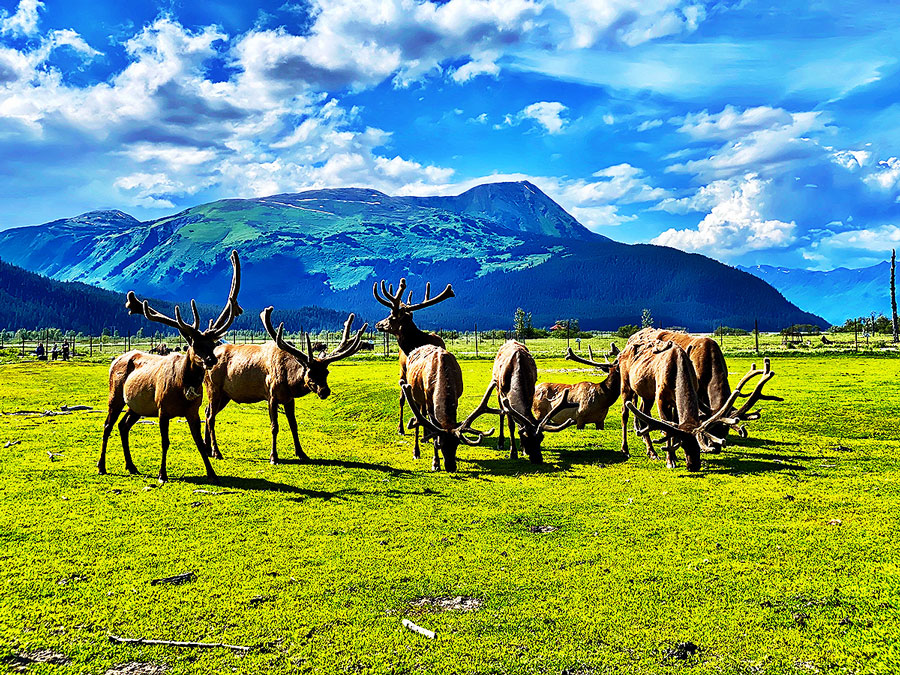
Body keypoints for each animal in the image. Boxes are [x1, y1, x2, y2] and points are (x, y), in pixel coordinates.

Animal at [99, 251, 243, 484]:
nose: (211, 360)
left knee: (123, 425)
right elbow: (165, 442)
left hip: (136, 406)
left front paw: (212, 473)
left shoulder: (192, 411)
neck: (183, 386)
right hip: (116, 396)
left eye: (212, 344)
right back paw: (101, 466)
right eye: (195, 345)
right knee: (107, 425)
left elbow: (199, 444)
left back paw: (131, 466)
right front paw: (162, 474)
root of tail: (115, 360)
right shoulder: (162, 409)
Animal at [206, 308, 368, 462]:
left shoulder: (289, 399)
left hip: (226, 395)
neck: (288, 380)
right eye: (310, 372)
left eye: (326, 372)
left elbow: (294, 425)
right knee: (211, 418)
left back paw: (208, 449)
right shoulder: (271, 396)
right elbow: (274, 426)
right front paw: (273, 456)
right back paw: (217, 452)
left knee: (207, 412)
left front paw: (301, 453)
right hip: (214, 388)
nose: (325, 391)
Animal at [374, 278, 458, 434]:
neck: (413, 344)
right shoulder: (404, 370)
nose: (378, 324)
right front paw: (403, 427)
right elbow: (405, 399)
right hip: (404, 371)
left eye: (391, 316)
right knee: (405, 399)